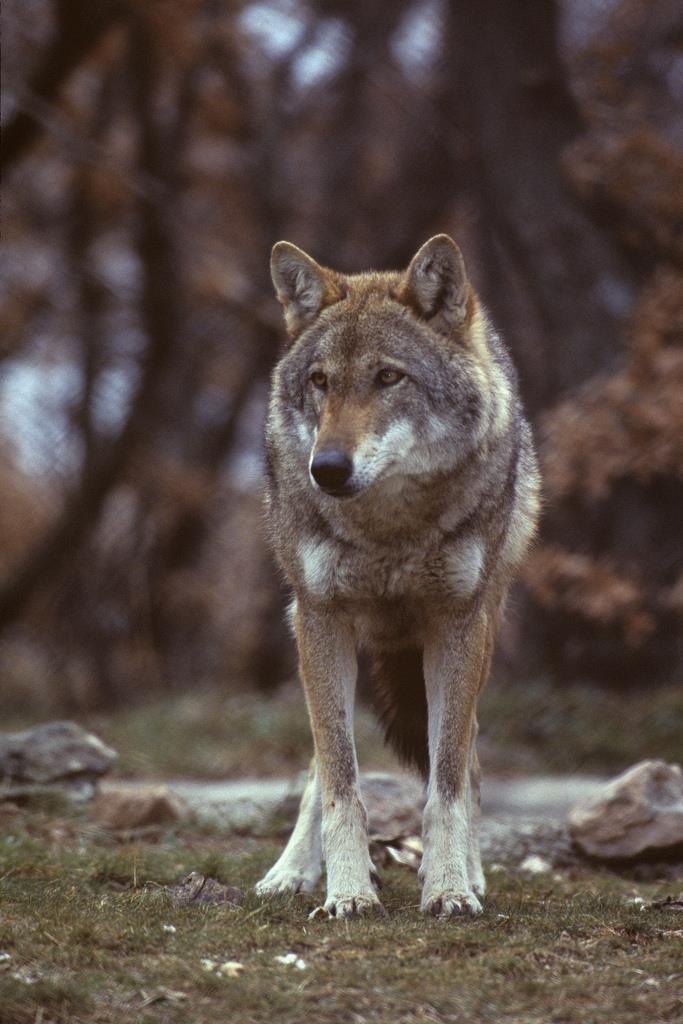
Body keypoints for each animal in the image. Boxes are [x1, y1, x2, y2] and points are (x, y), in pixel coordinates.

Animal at [254, 234, 540, 921]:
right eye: (320, 382)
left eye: (389, 377)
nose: (326, 469)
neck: (389, 530)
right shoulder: (321, 618)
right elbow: (340, 784)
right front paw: (347, 893)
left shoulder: (457, 624)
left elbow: (448, 784)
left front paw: (450, 888)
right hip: (315, 637)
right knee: (318, 767)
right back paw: (289, 874)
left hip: (483, 632)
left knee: (470, 757)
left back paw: (471, 874)